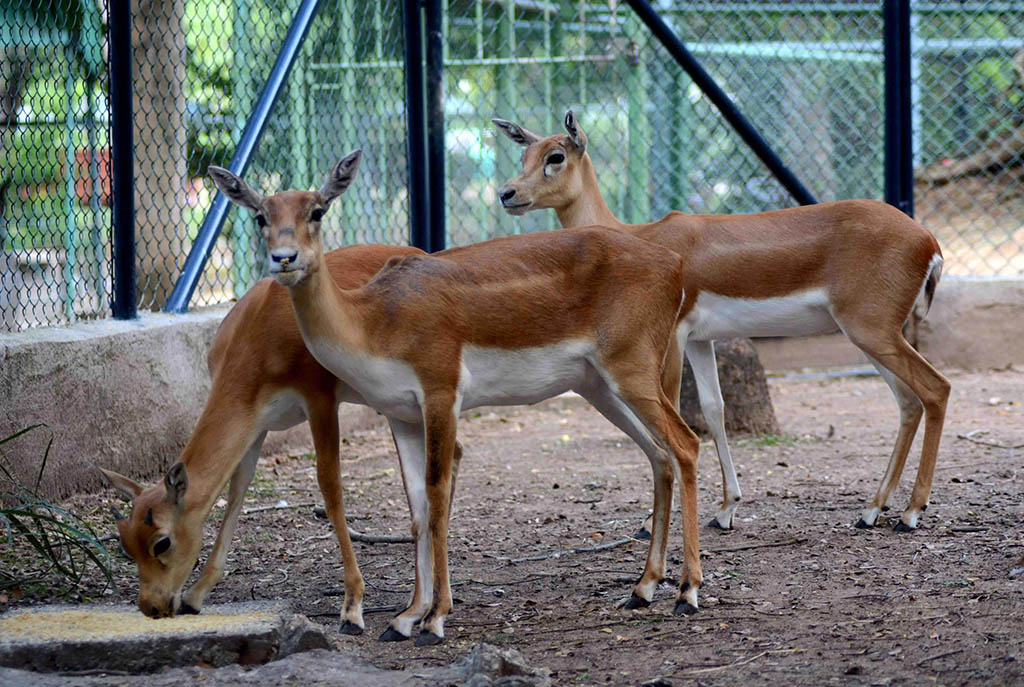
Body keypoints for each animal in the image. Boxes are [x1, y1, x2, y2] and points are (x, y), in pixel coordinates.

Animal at [97, 241, 466, 634]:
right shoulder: (256, 421)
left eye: (161, 542)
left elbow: (330, 487)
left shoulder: (319, 395)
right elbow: (237, 489)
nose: (151, 606)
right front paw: (196, 597)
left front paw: (352, 608)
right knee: (454, 451)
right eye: (125, 543)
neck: (258, 339)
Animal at [208, 153, 704, 647]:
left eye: (317, 210)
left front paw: (435, 619)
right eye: (260, 216)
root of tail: (675, 264)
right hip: (600, 387)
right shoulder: (401, 415)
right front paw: (405, 617)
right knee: (659, 456)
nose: (284, 259)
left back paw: (687, 593)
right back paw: (642, 589)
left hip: (632, 373)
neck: (375, 320)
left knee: (685, 445)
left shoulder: (441, 394)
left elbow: (438, 492)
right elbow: (416, 507)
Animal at [495, 111, 950, 532]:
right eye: (524, 154)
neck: (640, 238)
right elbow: (714, 410)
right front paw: (727, 509)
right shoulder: (701, 340)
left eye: (556, 156)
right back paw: (871, 511)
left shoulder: (674, 337)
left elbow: (675, 411)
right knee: (908, 401)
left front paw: (650, 522)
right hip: (870, 336)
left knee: (936, 389)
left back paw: (910, 512)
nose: (507, 193)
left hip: (871, 332)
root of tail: (928, 240)